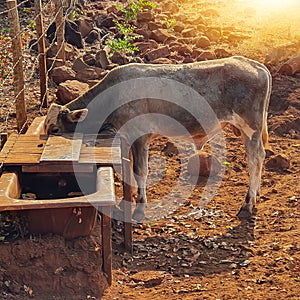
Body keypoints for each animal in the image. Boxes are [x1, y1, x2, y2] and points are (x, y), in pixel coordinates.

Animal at [44, 55, 272, 220]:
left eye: (54, 129)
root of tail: (254, 65)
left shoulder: (140, 136)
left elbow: (140, 171)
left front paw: (140, 207)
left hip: (250, 128)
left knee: (255, 159)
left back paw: (248, 204)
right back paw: (257, 193)